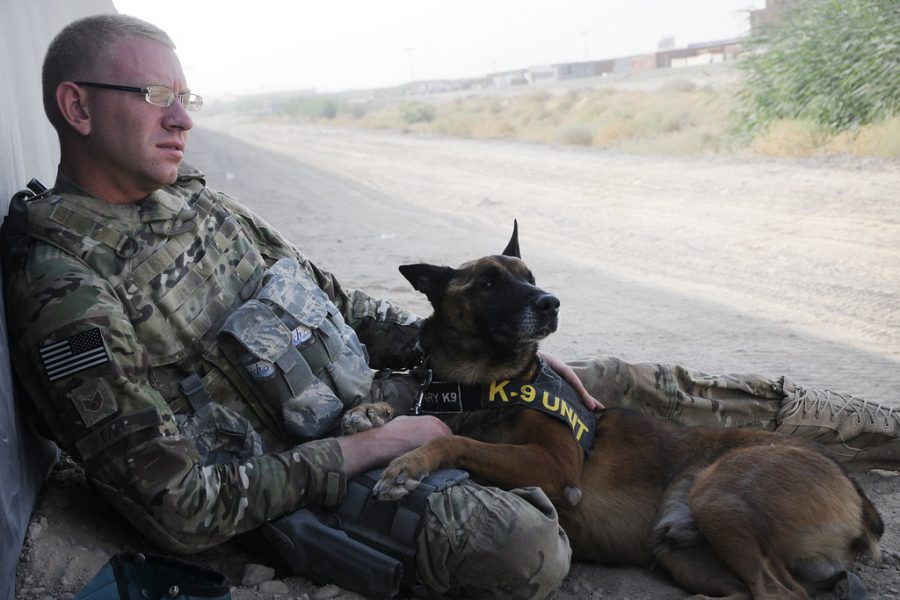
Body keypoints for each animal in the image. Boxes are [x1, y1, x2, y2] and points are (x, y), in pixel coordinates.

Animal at [348, 223, 884, 596]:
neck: (481, 383)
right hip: (681, 550)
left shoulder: (557, 466)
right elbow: (419, 417)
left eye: (532, 278)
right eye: (488, 283)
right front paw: (371, 414)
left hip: (721, 500)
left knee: (778, 592)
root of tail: (860, 498)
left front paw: (407, 464)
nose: (551, 303)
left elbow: (453, 438)